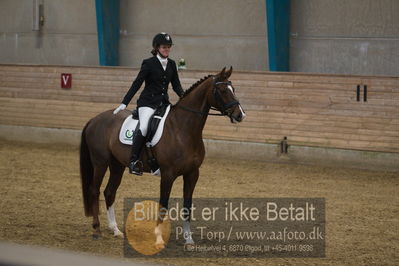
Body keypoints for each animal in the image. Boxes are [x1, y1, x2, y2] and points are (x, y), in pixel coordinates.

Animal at [79, 66, 245, 247]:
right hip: (100, 163)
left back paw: (115, 230)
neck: (183, 129)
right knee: (94, 190)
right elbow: (163, 205)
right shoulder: (168, 175)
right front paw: (158, 239)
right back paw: (97, 230)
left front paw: (188, 239)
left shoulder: (192, 173)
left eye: (233, 89)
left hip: (117, 165)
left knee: (109, 192)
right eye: (222, 91)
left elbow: (187, 206)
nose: (240, 115)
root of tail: (95, 119)